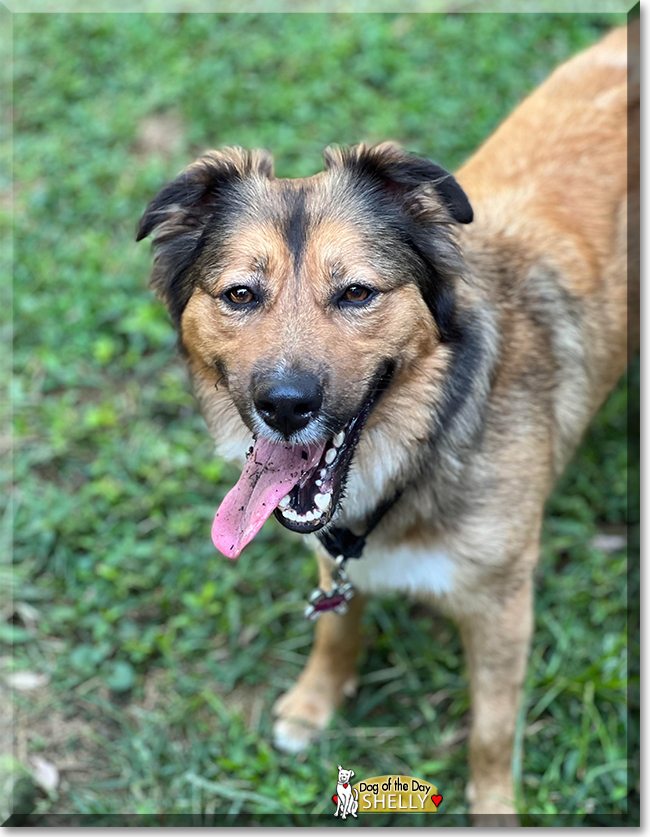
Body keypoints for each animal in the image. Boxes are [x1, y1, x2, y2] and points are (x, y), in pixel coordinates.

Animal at [134, 22, 636, 820]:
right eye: (240, 294)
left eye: (357, 293)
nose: (285, 405)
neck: (425, 443)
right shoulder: (332, 550)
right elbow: (338, 627)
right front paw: (314, 704)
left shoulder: (502, 603)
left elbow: (491, 730)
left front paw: (495, 810)